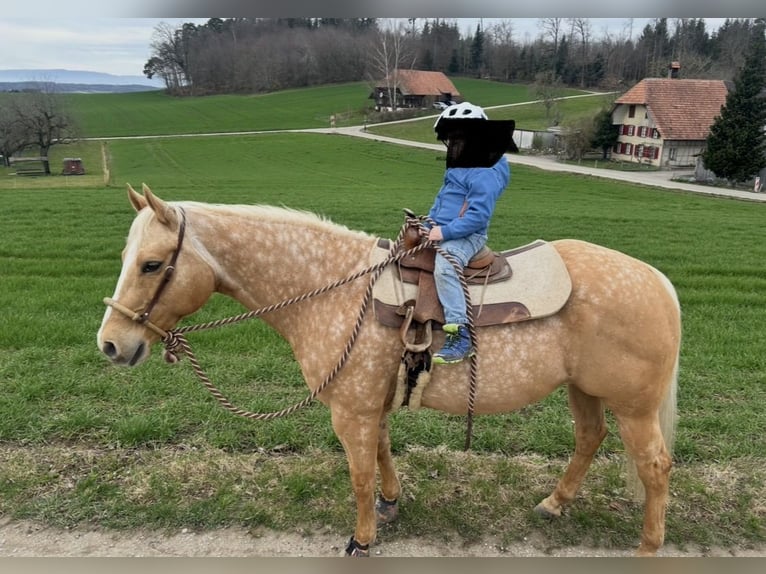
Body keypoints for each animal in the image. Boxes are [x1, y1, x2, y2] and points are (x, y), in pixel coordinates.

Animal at [97, 184, 681, 557]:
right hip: (586, 390)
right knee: (589, 438)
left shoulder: (349, 412)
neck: (335, 290)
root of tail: (656, 279)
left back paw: (649, 547)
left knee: (654, 467)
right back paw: (554, 504)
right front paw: (391, 503)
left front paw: (362, 539)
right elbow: (380, 454)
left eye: (152, 264)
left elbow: (358, 474)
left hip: (634, 407)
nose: (110, 344)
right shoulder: (369, 405)